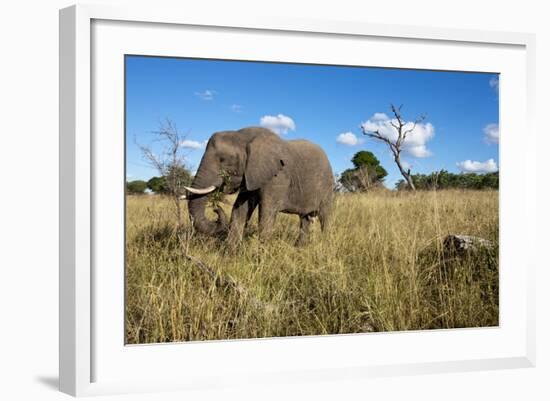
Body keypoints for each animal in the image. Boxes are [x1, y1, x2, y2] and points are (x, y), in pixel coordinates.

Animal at [183, 126, 334, 245]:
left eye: (223, 160)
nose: (215, 209)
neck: (244, 136)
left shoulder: (278, 176)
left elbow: (266, 212)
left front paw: (261, 255)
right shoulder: (250, 175)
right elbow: (240, 209)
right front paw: (230, 252)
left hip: (327, 186)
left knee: (324, 216)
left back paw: (324, 245)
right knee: (305, 218)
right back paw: (299, 248)